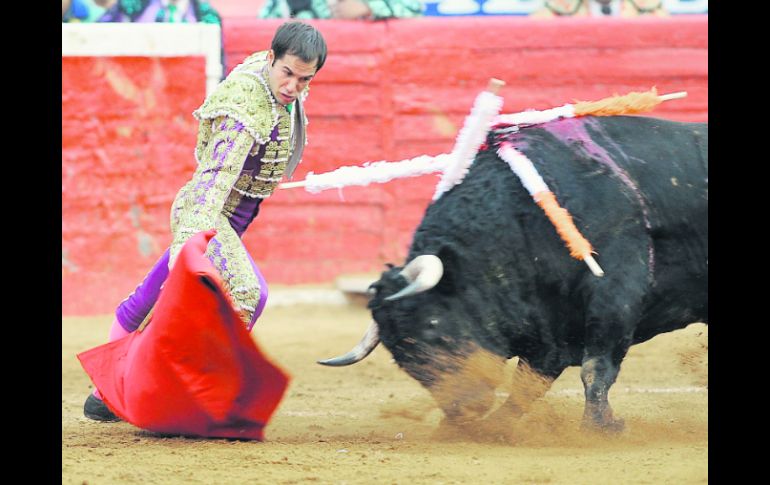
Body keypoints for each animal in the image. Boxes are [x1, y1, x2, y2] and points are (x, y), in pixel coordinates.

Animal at [320, 114, 708, 432]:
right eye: (400, 358)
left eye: (433, 327)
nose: (462, 411)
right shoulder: (548, 327)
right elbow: (527, 385)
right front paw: (495, 426)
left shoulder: (615, 292)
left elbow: (595, 367)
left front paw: (601, 427)